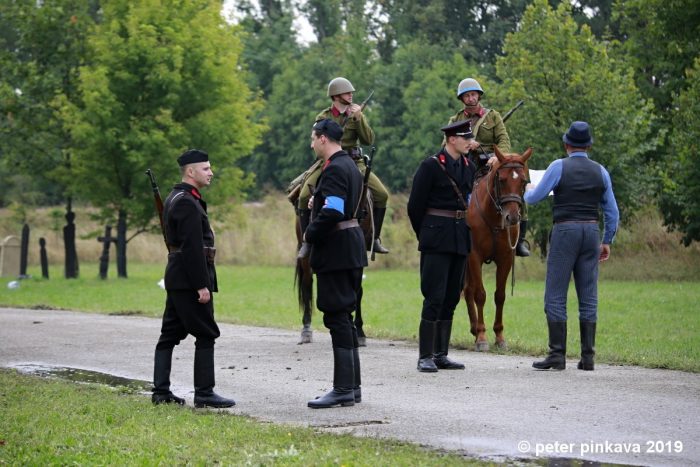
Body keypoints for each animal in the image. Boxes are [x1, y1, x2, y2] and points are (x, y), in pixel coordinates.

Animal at [462, 146, 532, 352]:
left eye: (524, 181)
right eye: (502, 180)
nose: (512, 217)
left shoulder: (506, 258)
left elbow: (500, 295)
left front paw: (500, 337)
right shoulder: (474, 256)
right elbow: (480, 295)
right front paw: (482, 336)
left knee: (468, 289)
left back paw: (473, 329)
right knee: (469, 290)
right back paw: (476, 330)